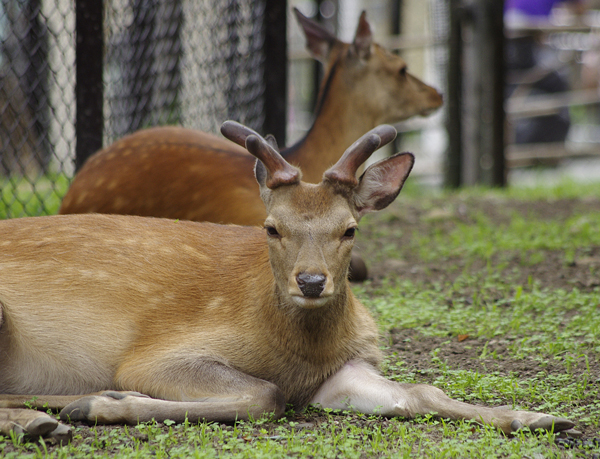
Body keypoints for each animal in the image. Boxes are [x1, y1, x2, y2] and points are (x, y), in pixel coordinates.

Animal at [0, 121, 576, 442]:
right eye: (271, 227)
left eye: (349, 228)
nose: (313, 282)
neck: (300, 350)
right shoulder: (155, 354)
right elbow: (266, 393)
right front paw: (107, 402)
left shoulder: (347, 368)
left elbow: (421, 392)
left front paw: (539, 417)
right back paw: (50, 416)